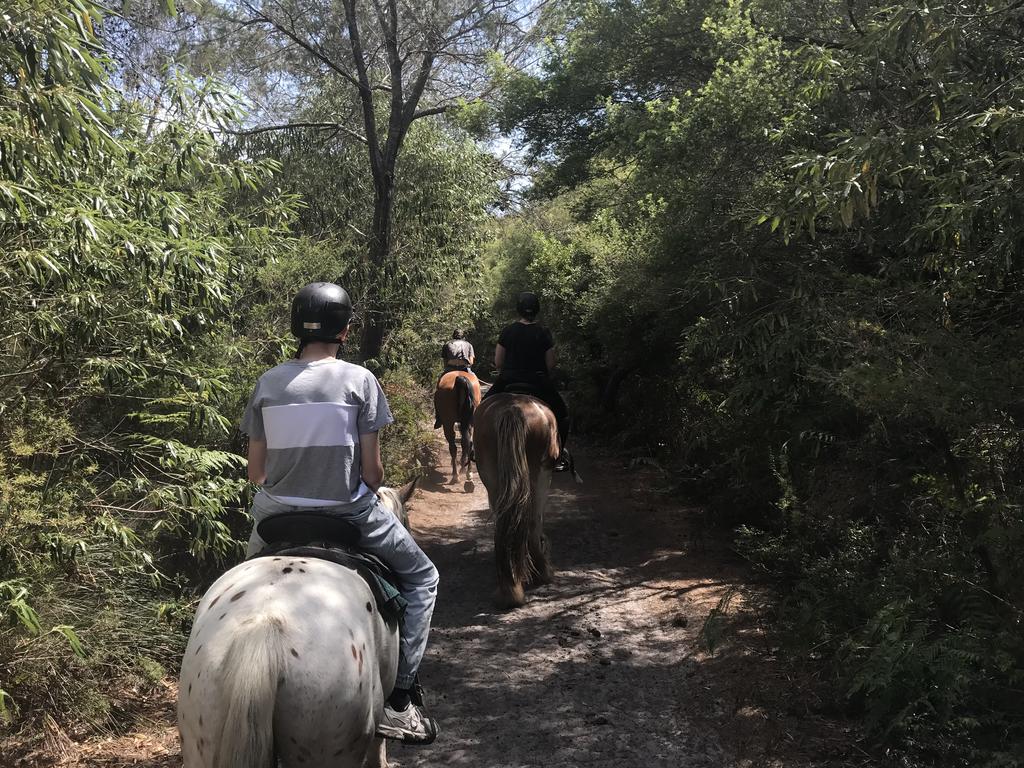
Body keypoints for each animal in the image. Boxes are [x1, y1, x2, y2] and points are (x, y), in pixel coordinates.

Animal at [473, 397, 557, 606]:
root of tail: (512, 409)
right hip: (542, 472)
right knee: (533, 521)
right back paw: (543, 572)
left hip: (491, 476)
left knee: (503, 522)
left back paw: (510, 588)